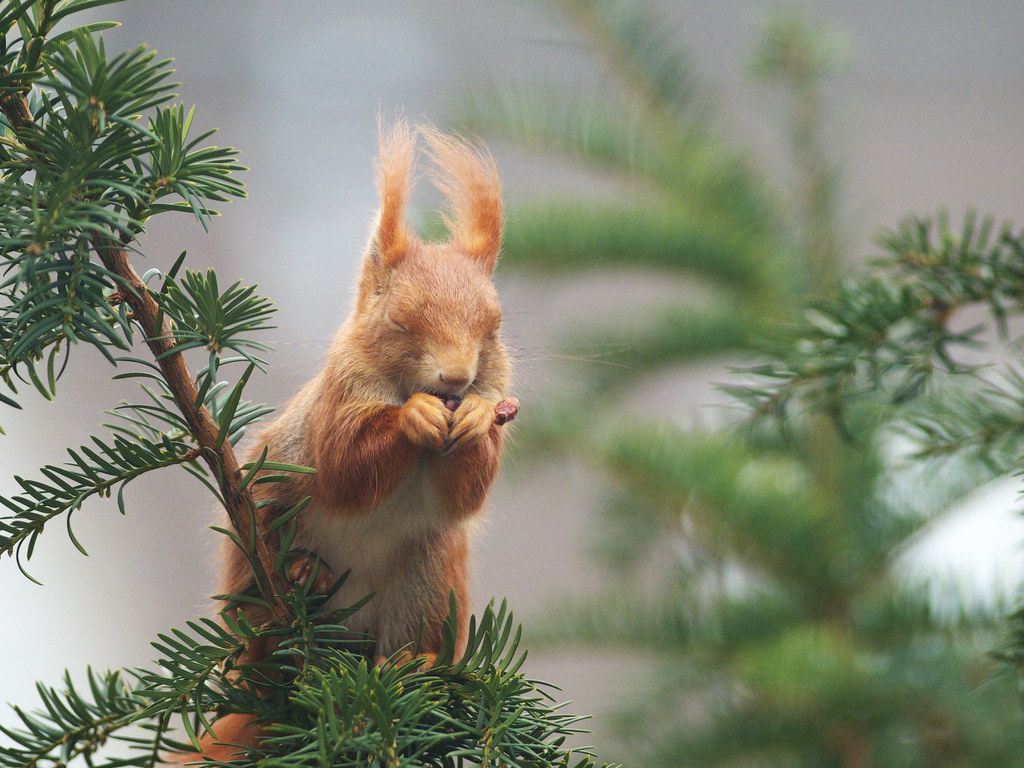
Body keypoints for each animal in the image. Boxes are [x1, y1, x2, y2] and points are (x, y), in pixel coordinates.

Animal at [197, 121, 520, 765]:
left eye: (494, 330)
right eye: (398, 323)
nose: (455, 380)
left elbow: (466, 492)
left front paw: (473, 420)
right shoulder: (335, 405)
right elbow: (346, 467)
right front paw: (413, 419)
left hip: (427, 576)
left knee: (403, 643)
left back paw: (411, 664)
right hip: (259, 528)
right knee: (260, 637)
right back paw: (298, 585)